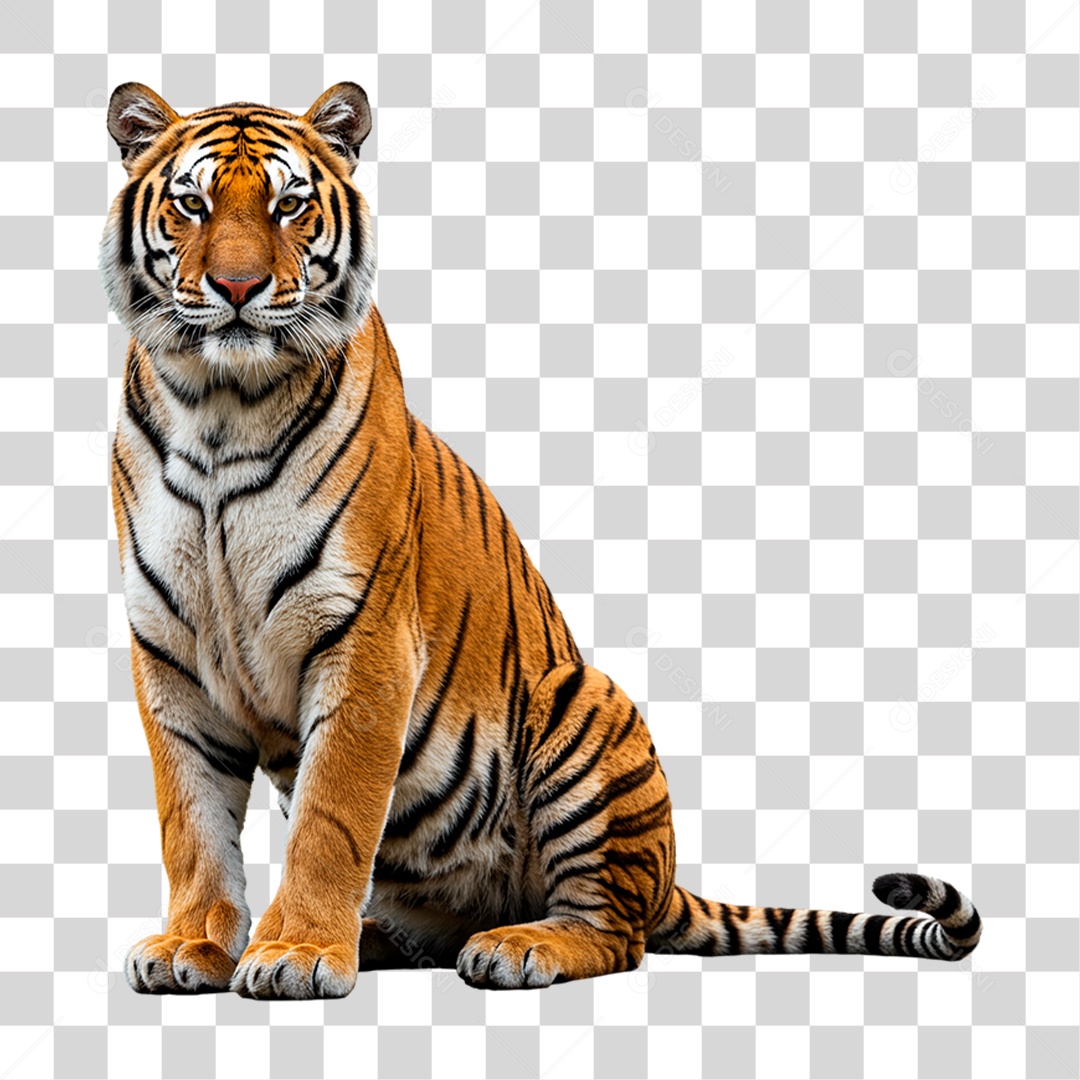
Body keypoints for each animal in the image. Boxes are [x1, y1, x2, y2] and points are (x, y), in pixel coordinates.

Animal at [100, 81, 982, 999]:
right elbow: (191, 822)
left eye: (290, 205)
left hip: (579, 703)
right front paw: (192, 945)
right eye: (192, 204)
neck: (220, 407)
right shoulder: (168, 654)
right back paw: (383, 937)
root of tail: (666, 878)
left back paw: (518, 946)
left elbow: (331, 817)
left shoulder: (364, 638)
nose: (238, 285)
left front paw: (298, 952)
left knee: (615, 932)